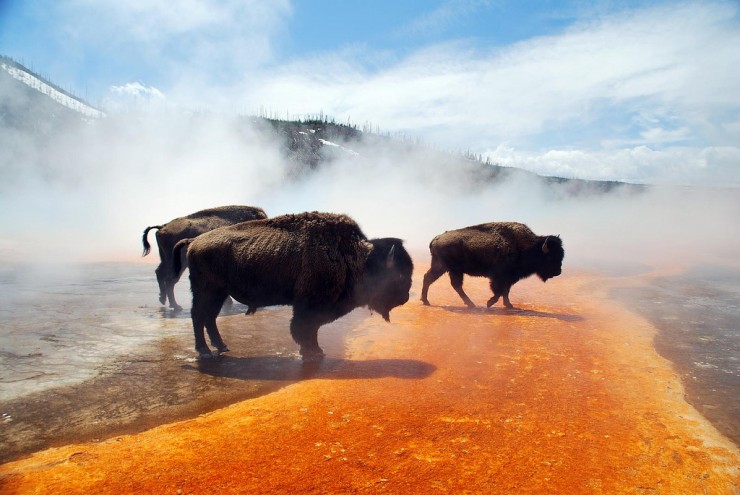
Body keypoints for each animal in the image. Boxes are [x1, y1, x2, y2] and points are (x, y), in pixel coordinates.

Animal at [174, 211, 416, 362]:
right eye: (399, 274)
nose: (405, 297)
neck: (352, 255)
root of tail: (194, 242)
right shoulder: (309, 305)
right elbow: (304, 328)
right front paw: (313, 353)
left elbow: (310, 329)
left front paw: (314, 351)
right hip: (206, 291)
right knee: (198, 316)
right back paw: (205, 351)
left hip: (219, 293)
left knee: (210, 317)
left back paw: (221, 346)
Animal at [420, 224, 564, 310]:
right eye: (550, 257)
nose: (558, 272)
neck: (527, 247)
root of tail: (436, 239)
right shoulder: (500, 277)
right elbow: (499, 291)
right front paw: (490, 303)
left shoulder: (509, 279)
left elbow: (506, 291)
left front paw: (509, 305)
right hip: (453, 270)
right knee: (455, 285)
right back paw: (471, 305)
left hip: (441, 267)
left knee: (429, 278)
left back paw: (426, 301)